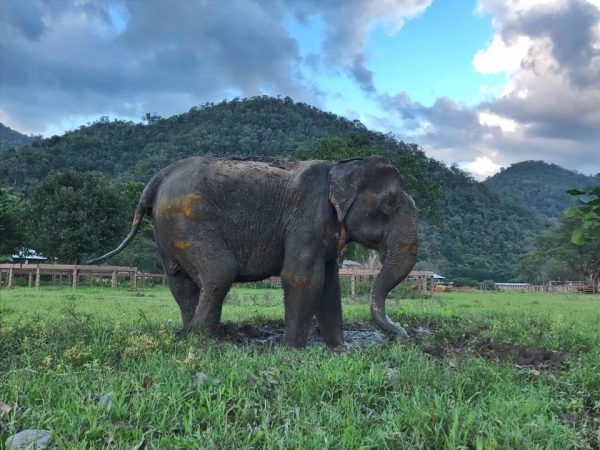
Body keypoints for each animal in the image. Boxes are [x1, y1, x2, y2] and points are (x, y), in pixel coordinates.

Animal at [89, 155, 418, 348]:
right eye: (390, 201)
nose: (404, 333)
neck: (342, 167)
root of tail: (157, 178)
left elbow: (329, 285)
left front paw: (338, 349)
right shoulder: (308, 216)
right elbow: (301, 277)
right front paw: (294, 351)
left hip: (169, 229)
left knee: (178, 279)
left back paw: (190, 335)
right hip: (187, 218)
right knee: (219, 272)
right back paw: (206, 342)